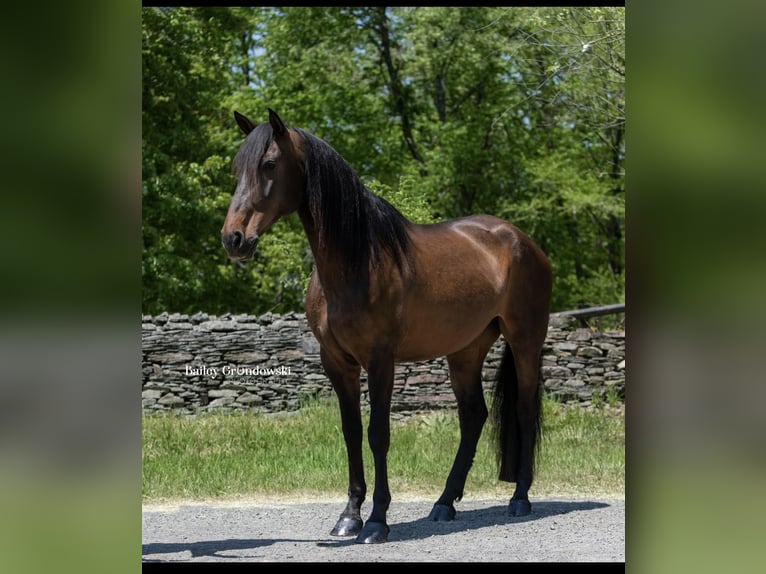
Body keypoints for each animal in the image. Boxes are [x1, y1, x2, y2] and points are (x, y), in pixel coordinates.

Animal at [222, 110, 552, 548]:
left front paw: (377, 522)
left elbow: (378, 433)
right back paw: (444, 504)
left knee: (525, 409)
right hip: (465, 351)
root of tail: (521, 240)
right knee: (473, 417)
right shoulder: (337, 362)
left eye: (270, 164)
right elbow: (351, 432)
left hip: (525, 341)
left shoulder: (381, 360)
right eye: (236, 168)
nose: (234, 239)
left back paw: (520, 499)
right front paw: (349, 517)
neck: (356, 260)